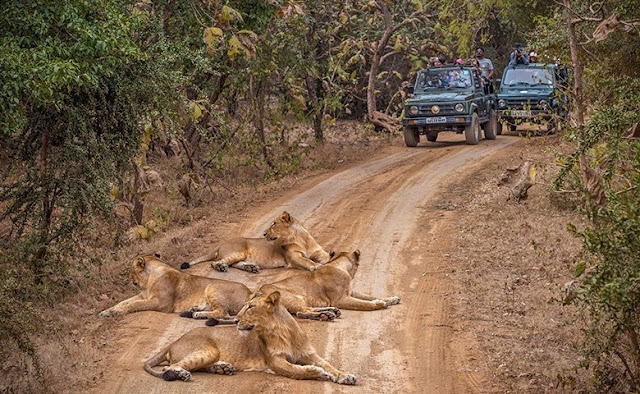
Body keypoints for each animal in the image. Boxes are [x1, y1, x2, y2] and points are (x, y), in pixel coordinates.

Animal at [99, 252, 251, 320]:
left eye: (132, 270)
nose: (129, 279)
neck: (148, 281)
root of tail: (251, 293)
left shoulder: (160, 303)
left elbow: (133, 305)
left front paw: (117, 312)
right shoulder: (142, 295)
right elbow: (123, 302)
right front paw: (106, 311)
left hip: (212, 286)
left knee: (223, 312)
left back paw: (197, 314)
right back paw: (195, 309)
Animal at [142, 292, 358, 384]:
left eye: (250, 307)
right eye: (244, 306)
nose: (236, 319)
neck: (281, 331)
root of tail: (173, 341)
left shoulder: (309, 354)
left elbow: (330, 365)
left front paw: (345, 376)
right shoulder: (275, 362)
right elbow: (297, 370)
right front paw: (318, 373)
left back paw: (223, 368)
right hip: (206, 350)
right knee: (170, 368)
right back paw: (183, 374)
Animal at [179, 212, 332, 274]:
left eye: (274, 224)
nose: (263, 234)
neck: (300, 239)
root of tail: (220, 244)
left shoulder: (318, 250)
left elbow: (326, 256)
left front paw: (329, 258)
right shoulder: (293, 257)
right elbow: (306, 261)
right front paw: (315, 266)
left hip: (239, 256)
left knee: (233, 263)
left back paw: (251, 268)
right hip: (238, 252)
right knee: (216, 262)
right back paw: (222, 267)